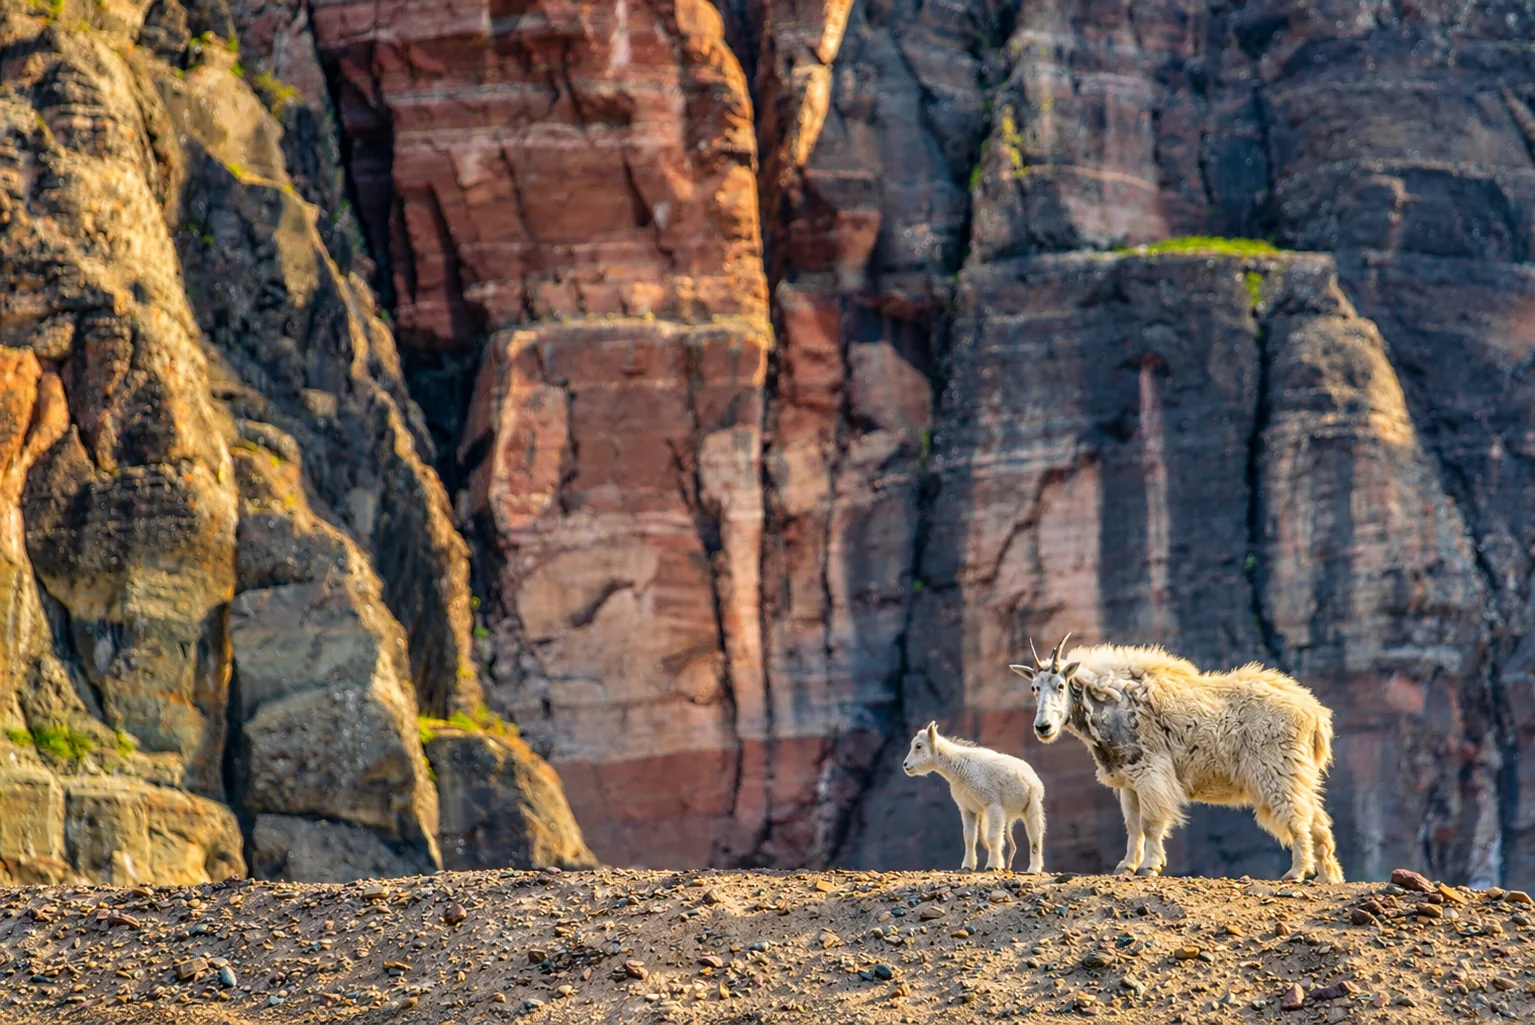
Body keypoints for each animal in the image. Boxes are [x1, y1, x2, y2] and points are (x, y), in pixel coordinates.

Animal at [903, 722, 1047, 873]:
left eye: (918, 746)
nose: (905, 765)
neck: (960, 769)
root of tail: (1035, 778)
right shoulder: (967, 808)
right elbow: (969, 837)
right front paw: (967, 865)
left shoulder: (992, 804)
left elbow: (992, 837)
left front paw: (993, 865)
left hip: (1032, 804)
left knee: (1035, 835)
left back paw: (1033, 869)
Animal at [1010, 635, 1343, 883]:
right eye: (1033, 688)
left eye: (1061, 686)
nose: (1043, 727)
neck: (1110, 703)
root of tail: (1315, 715)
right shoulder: (1128, 781)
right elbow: (1133, 826)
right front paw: (1126, 866)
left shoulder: (1150, 773)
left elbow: (1151, 823)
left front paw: (1150, 866)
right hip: (1295, 773)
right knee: (1317, 820)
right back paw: (1328, 876)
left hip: (1276, 771)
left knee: (1297, 818)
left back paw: (1296, 872)